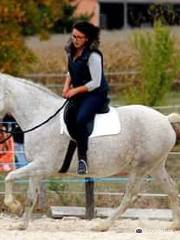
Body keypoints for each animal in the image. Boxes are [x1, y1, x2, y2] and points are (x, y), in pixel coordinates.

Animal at [0, 72, 180, 231]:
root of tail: (165, 119)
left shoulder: (42, 165)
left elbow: (10, 177)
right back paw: (174, 225)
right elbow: (30, 197)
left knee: (130, 196)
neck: (41, 117)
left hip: (140, 167)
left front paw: (13, 206)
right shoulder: (36, 169)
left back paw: (102, 226)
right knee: (171, 189)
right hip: (155, 166)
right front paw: (21, 224)